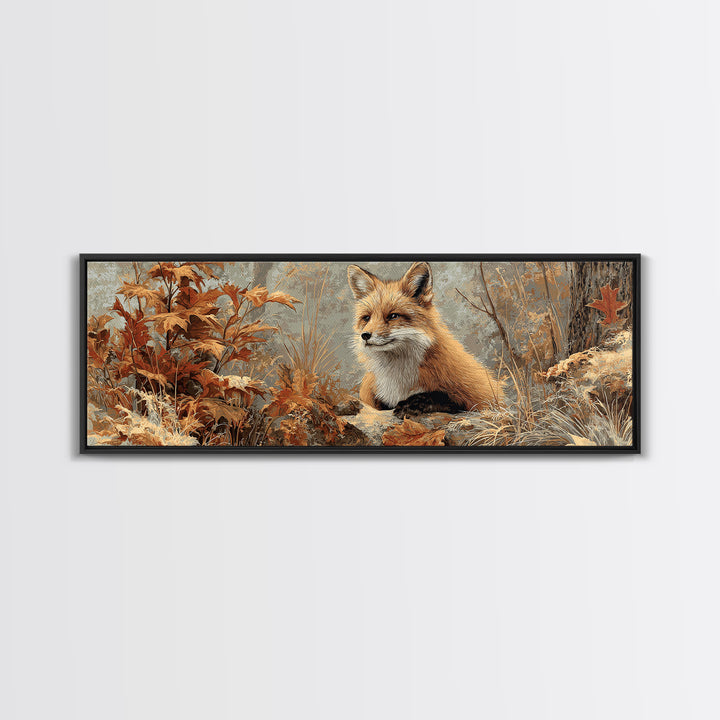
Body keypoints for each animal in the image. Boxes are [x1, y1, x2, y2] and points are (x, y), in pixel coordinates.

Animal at [347, 261, 503, 417]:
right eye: (367, 318)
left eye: (393, 316)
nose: (365, 335)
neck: (398, 378)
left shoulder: (481, 396)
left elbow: (442, 397)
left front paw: (412, 404)